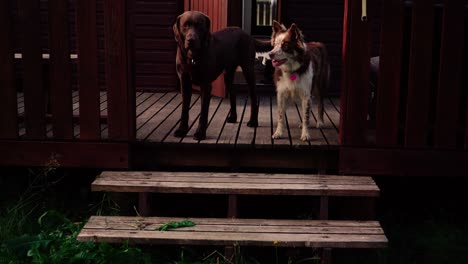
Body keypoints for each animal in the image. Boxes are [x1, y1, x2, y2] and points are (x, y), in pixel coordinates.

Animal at [173, 10, 266, 140]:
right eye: (185, 25)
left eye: (199, 26)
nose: (191, 40)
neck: (192, 57)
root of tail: (247, 35)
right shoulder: (184, 82)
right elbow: (184, 109)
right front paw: (182, 130)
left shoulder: (206, 85)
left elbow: (203, 112)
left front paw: (200, 133)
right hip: (228, 75)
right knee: (233, 93)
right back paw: (233, 117)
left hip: (248, 70)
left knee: (253, 96)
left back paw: (253, 121)